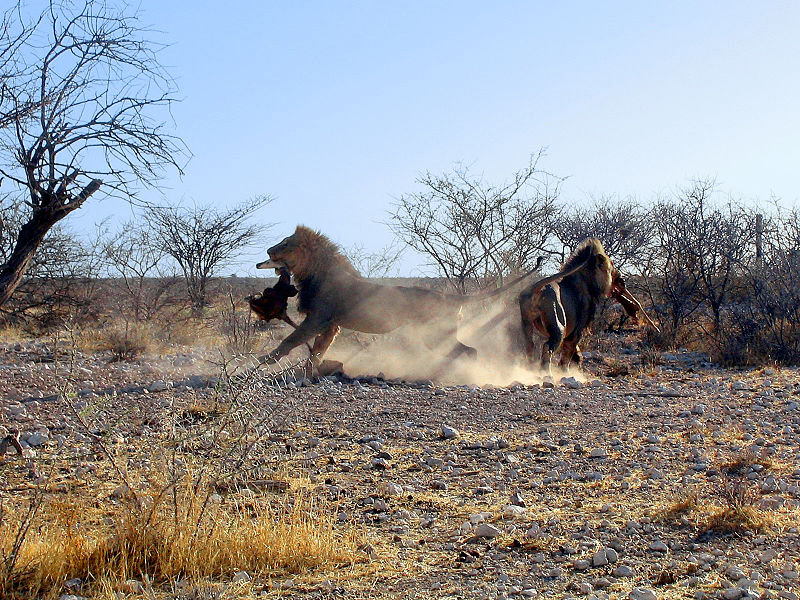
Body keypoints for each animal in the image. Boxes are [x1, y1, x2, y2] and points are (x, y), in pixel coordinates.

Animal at [256, 226, 536, 370]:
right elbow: (317, 351)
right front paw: (308, 373)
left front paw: (262, 362)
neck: (312, 272)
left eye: (285, 243)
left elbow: (290, 341)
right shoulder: (331, 325)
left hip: (435, 334)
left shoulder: (318, 318)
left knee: (469, 351)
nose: (267, 251)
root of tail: (451, 297)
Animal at [516, 237, 616, 372]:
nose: (617, 274)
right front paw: (565, 371)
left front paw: (577, 361)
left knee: (530, 345)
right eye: (611, 266)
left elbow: (575, 351)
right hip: (559, 325)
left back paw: (529, 368)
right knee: (547, 346)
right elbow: (568, 351)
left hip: (526, 322)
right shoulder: (577, 329)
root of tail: (537, 288)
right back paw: (546, 373)